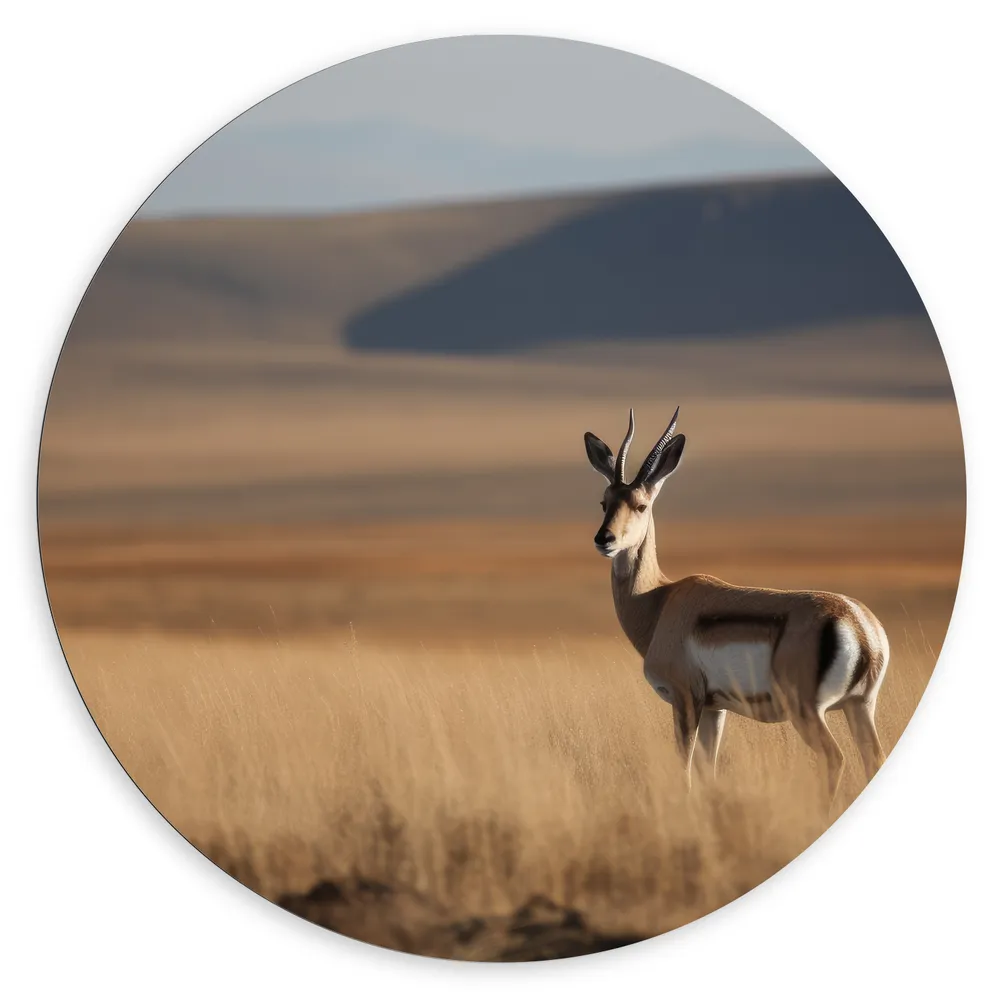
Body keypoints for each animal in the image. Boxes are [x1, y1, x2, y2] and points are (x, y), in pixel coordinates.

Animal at [584, 406, 889, 802]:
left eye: (640, 505)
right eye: (604, 502)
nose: (604, 539)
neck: (659, 600)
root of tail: (861, 627)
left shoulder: (685, 701)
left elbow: (685, 773)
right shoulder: (716, 709)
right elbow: (707, 771)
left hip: (809, 713)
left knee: (835, 759)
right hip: (859, 708)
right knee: (873, 759)